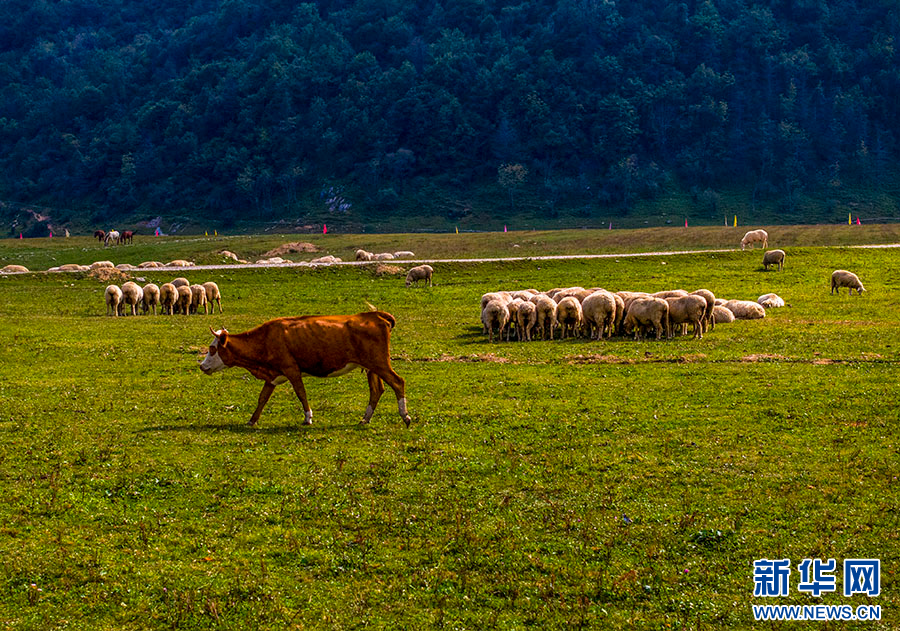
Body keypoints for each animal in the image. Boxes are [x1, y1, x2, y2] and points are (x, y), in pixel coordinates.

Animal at [200, 312, 412, 428]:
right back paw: (365, 419)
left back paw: (405, 416)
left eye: (212, 349)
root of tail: (375, 315)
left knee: (398, 382)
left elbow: (301, 393)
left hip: (380, 363)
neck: (266, 339)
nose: (202, 366)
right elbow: (262, 398)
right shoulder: (272, 376)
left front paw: (308, 418)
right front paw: (252, 420)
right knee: (377, 390)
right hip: (371, 367)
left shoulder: (291, 369)